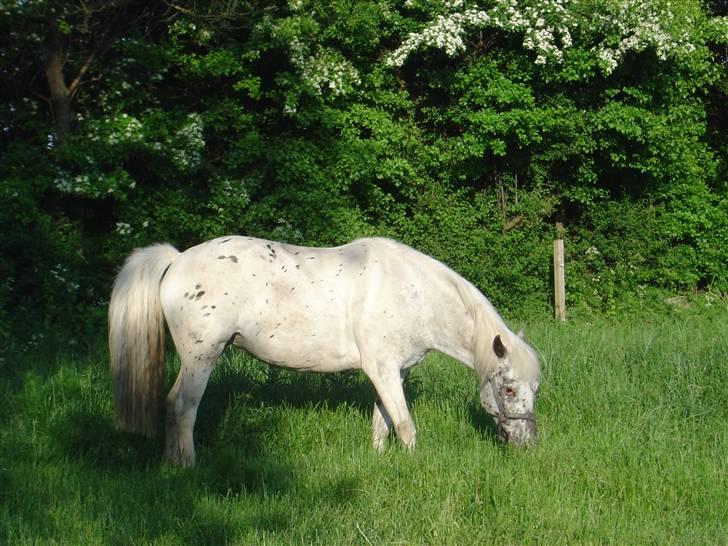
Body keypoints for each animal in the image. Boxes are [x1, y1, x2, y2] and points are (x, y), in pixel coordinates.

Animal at [109, 234, 540, 464]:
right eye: (507, 388)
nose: (526, 444)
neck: (413, 292)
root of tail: (177, 259)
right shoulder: (384, 370)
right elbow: (405, 426)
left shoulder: (390, 373)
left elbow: (381, 422)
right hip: (202, 358)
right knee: (184, 407)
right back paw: (188, 466)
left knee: (170, 403)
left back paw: (169, 464)